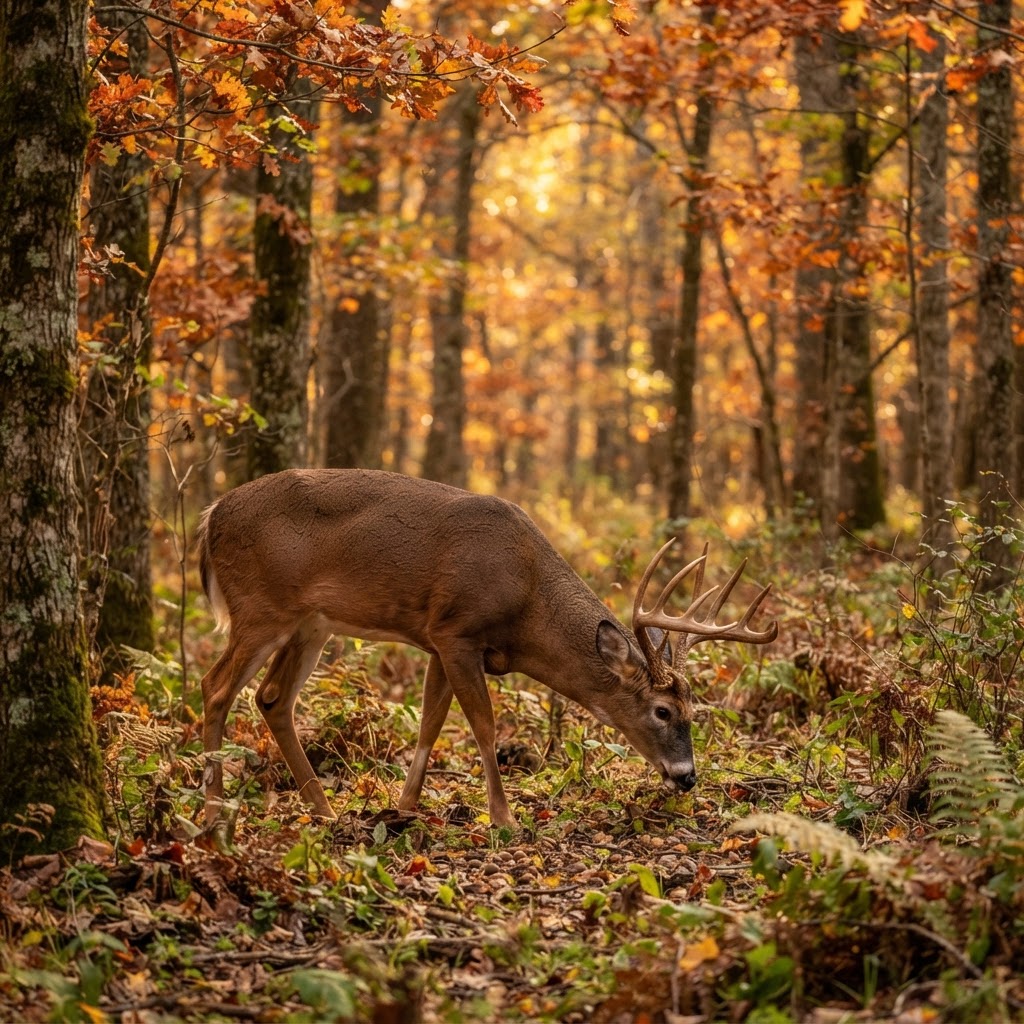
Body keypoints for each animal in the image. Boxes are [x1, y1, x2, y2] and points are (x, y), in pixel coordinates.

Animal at [196, 468, 777, 827]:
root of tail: (211, 514)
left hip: (311, 624)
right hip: (260, 606)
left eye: (694, 710)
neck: (526, 595)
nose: (687, 777)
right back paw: (213, 809)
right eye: (662, 710)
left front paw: (404, 808)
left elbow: (430, 723)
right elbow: (483, 725)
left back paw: (323, 809)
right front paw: (503, 816)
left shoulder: (436, 638)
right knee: (215, 686)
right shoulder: (457, 629)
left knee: (272, 698)